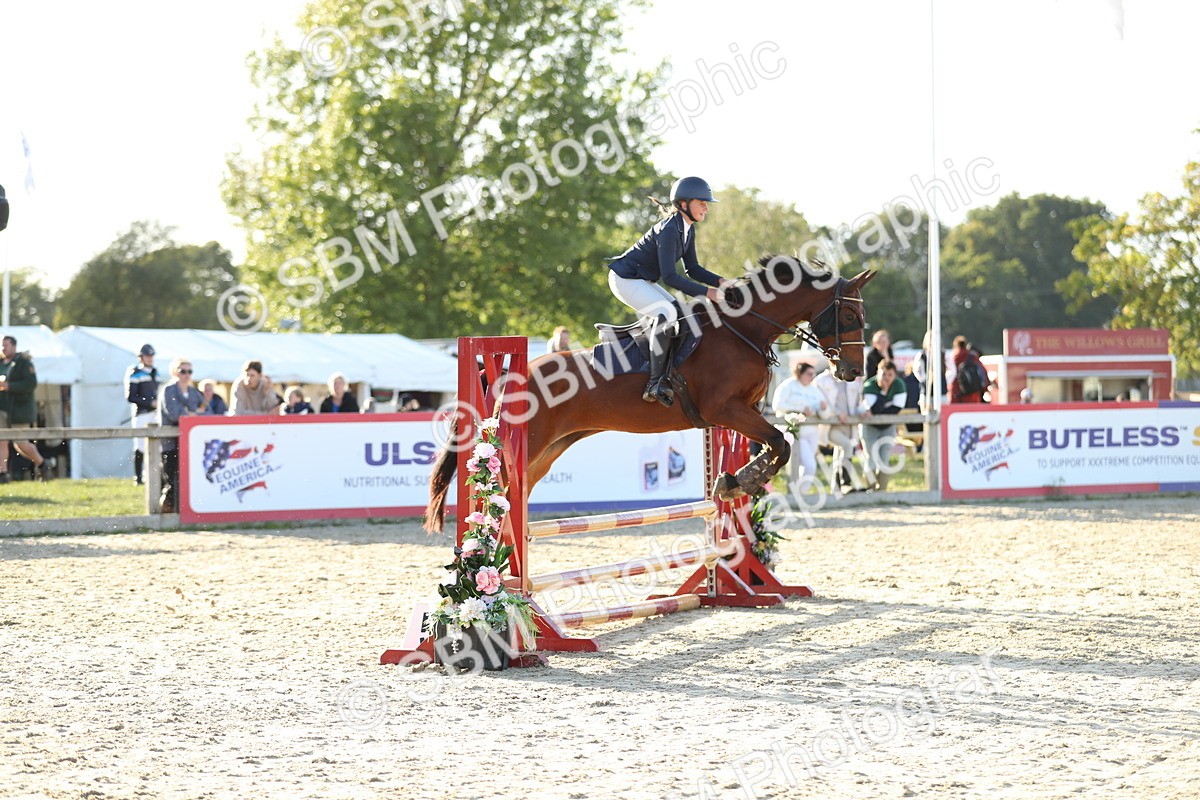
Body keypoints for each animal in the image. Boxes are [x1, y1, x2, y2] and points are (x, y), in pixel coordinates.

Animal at [425, 255, 875, 531]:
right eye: (849, 314)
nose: (853, 371)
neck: (743, 328)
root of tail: (508, 375)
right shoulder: (725, 409)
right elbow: (781, 443)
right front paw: (741, 481)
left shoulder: (744, 411)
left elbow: (775, 446)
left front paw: (732, 479)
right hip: (526, 442)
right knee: (495, 492)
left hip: (549, 448)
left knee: (515, 492)